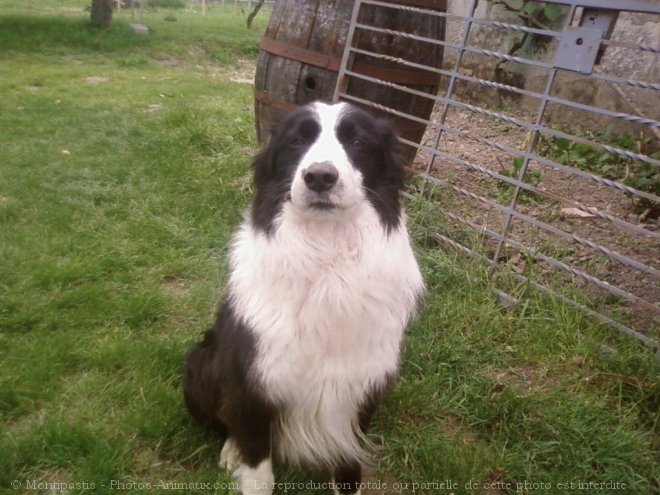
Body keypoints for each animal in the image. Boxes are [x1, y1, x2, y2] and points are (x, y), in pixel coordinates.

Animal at [186, 101, 422, 495]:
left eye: (358, 142)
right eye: (296, 141)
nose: (320, 177)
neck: (326, 258)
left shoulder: (360, 387)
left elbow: (348, 463)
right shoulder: (254, 379)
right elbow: (258, 466)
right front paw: (246, 465)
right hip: (201, 359)